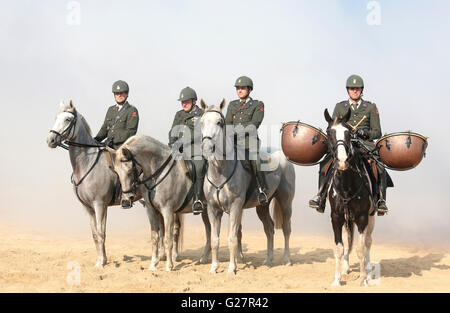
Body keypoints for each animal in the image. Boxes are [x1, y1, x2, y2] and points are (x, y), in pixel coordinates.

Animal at [44, 101, 180, 266]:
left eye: (68, 119)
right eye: (56, 117)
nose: (50, 140)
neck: (88, 163)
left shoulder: (99, 205)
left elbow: (101, 233)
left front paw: (101, 262)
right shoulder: (88, 208)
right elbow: (95, 234)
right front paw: (102, 259)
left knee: (174, 228)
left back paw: (173, 257)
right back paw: (161, 256)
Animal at [200, 99, 296, 272]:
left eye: (219, 122)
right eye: (202, 122)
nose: (206, 148)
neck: (220, 171)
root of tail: (283, 157)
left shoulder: (235, 207)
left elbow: (232, 237)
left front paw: (232, 268)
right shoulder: (213, 209)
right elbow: (215, 239)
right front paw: (214, 268)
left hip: (285, 202)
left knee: (286, 228)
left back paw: (286, 259)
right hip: (262, 206)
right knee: (269, 229)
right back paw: (268, 260)